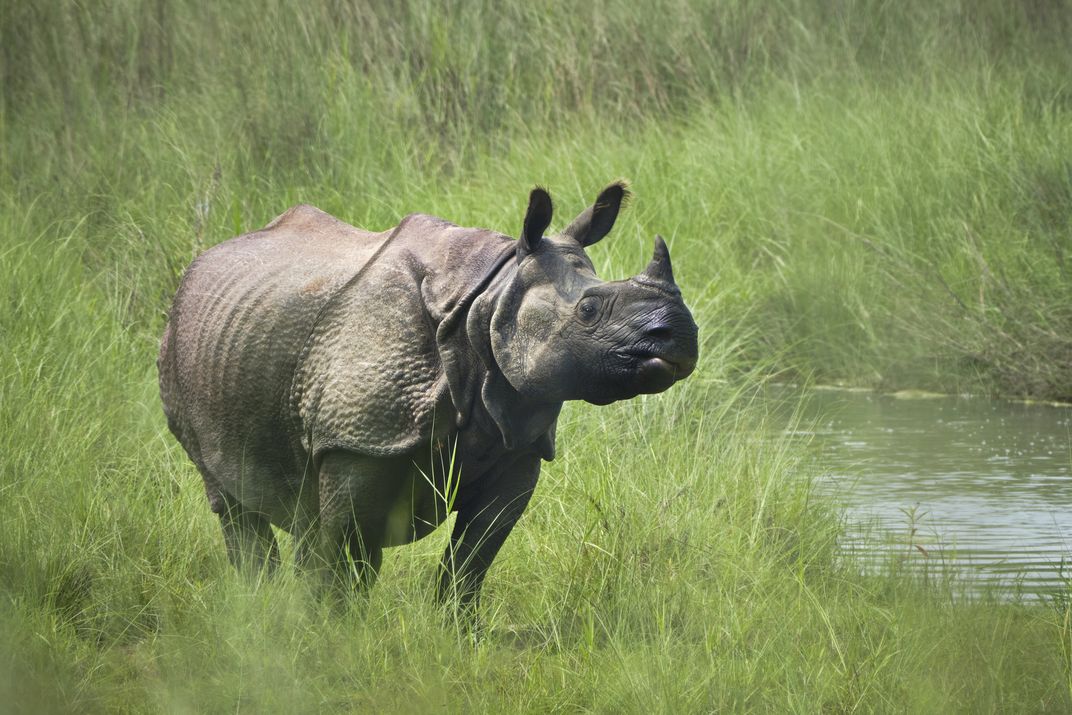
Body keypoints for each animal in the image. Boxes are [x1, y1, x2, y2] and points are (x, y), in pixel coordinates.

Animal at [158, 182, 698, 610]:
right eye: (588, 309)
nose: (682, 335)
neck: (489, 300)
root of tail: (203, 260)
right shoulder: (357, 440)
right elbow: (347, 551)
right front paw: (330, 637)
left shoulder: (518, 442)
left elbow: (473, 558)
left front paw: (459, 636)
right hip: (181, 341)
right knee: (235, 503)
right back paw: (262, 608)